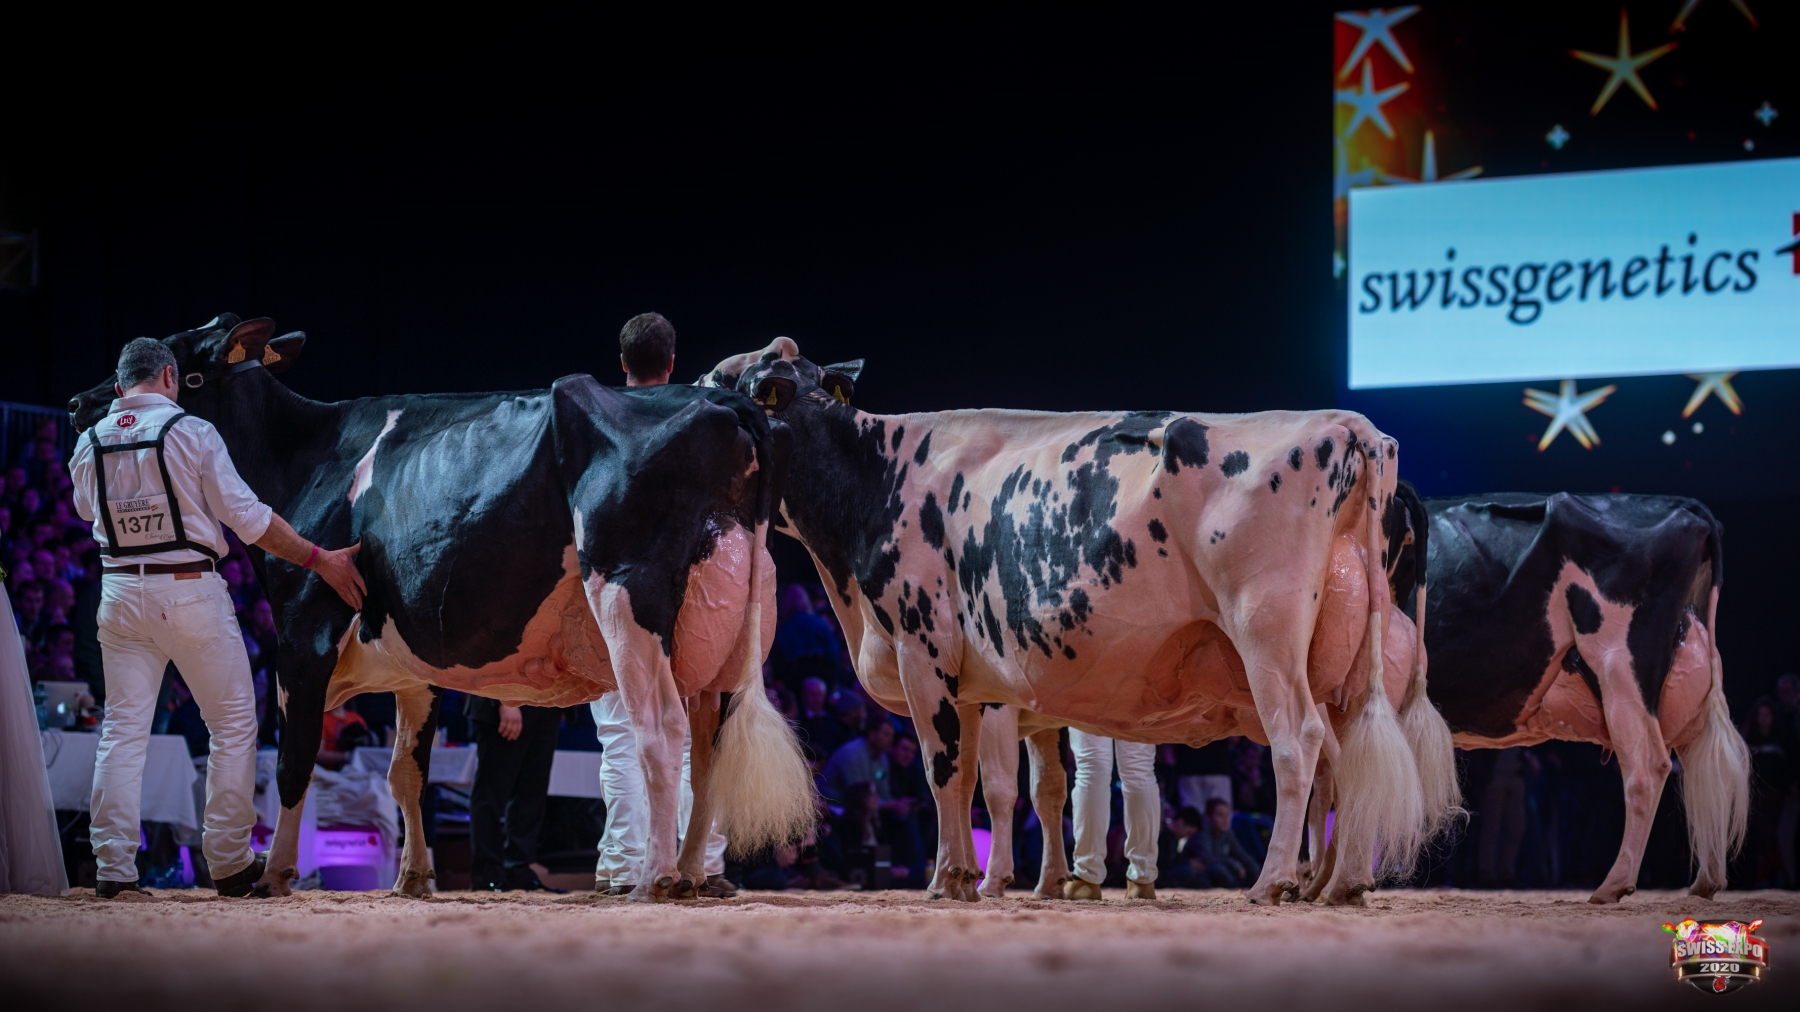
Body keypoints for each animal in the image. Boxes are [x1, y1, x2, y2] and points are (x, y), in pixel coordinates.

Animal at [69, 314, 817, 900]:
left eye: (181, 367)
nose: (80, 401)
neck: (307, 455)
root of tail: (725, 405)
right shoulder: (412, 667)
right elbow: (406, 772)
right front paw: (414, 877)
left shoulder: (303, 632)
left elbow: (293, 757)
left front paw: (275, 873)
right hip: (723, 637)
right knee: (709, 750)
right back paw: (689, 873)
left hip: (630, 594)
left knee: (660, 731)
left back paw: (656, 878)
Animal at [703, 337, 1459, 904]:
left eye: (723, 382)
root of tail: (1343, 423)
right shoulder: (976, 684)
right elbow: (996, 782)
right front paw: (981, 877)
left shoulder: (926, 652)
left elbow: (946, 771)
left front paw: (951, 879)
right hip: (1342, 667)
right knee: (1349, 754)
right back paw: (1338, 882)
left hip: (1267, 634)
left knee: (1298, 744)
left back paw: (1274, 882)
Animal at [1389, 485, 1750, 903]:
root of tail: (1687, 506)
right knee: (1706, 770)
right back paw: (1706, 881)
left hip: (1620, 666)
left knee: (1648, 767)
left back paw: (1613, 884)